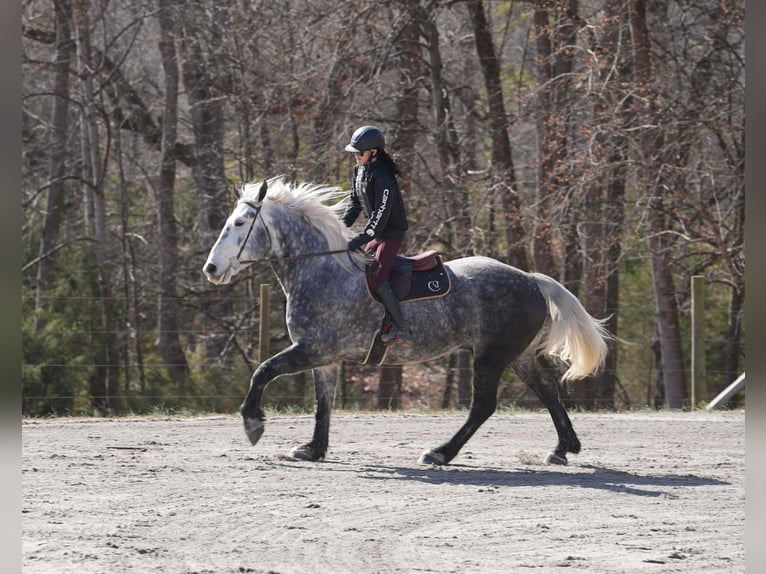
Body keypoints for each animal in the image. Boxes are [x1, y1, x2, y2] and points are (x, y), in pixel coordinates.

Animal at [203, 176, 612, 466]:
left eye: (240, 223)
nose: (211, 269)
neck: (322, 270)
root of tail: (530, 279)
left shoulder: (313, 350)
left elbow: (263, 371)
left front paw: (253, 423)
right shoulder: (325, 359)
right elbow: (323, 405)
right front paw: (314, 449)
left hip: (491, 357)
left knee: (484, 406)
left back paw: (441, 453)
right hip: (518, 356)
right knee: (548, 391)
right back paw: (562, 449)